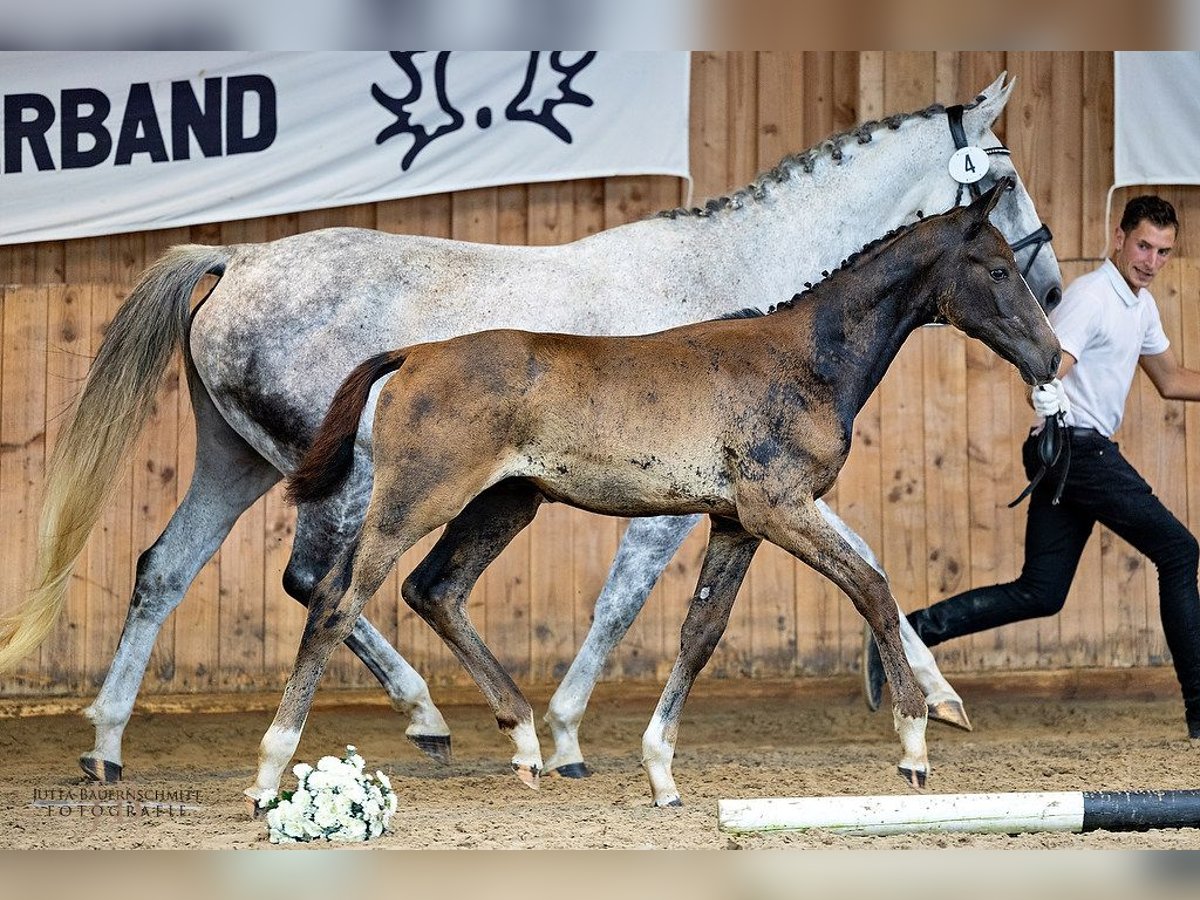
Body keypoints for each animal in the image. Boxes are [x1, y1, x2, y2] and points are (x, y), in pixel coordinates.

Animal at [246, 181, 1060, 811]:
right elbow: (873, 589)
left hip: (505, 503)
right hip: (417, 499)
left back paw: (526, 746)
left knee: (434, 590)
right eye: (996, 267)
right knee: (337, 599)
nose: (1053, 356)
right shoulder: (780, 509)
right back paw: (270, 773)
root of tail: (414, 354)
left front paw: (662, 774)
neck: (807, 357)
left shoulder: (736, 523)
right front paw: (915, 746)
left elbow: (702, 633)